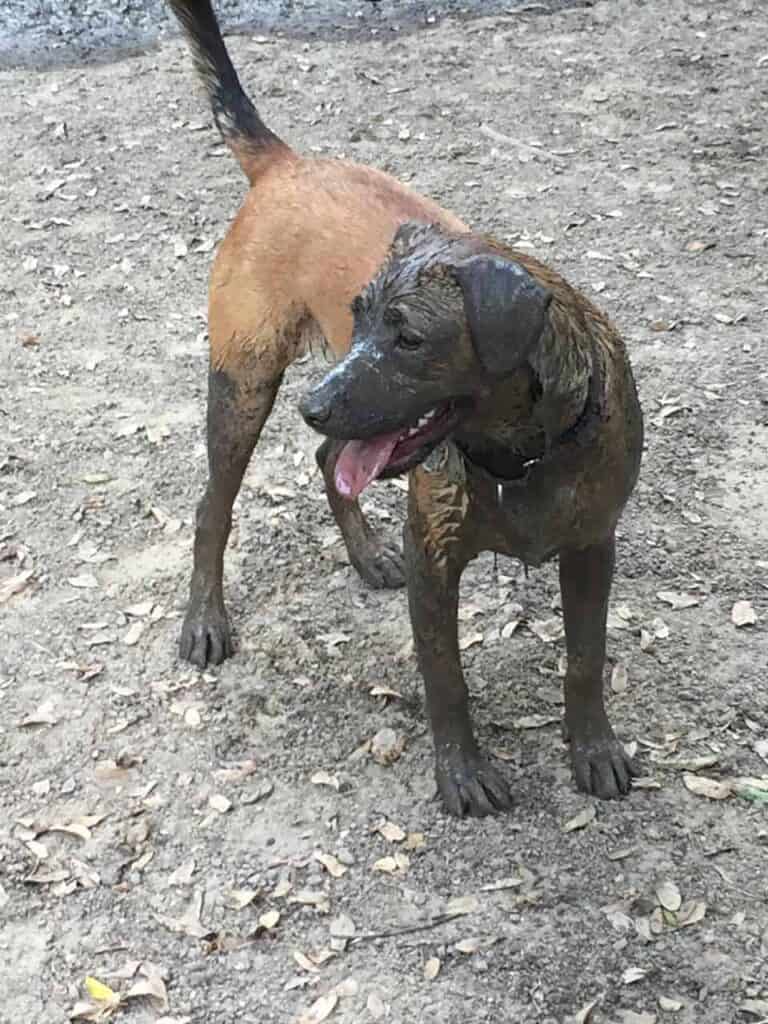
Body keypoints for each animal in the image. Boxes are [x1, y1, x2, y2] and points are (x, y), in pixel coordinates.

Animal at [167, 0, 466, 671]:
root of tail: (286, 164)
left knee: (330, 457)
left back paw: (367, 554)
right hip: (247, 384)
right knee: (213, 507)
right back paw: (205, 619)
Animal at [301, 224, 643, 815]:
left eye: (410, 339)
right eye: (358, 317)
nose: (310, 407)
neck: (516, 459)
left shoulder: (593, 547)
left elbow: (586, 657)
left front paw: (594, 747)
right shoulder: (432, 558)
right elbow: (445, 677)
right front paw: (461, 773)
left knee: (329, 458)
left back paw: (366, 553)